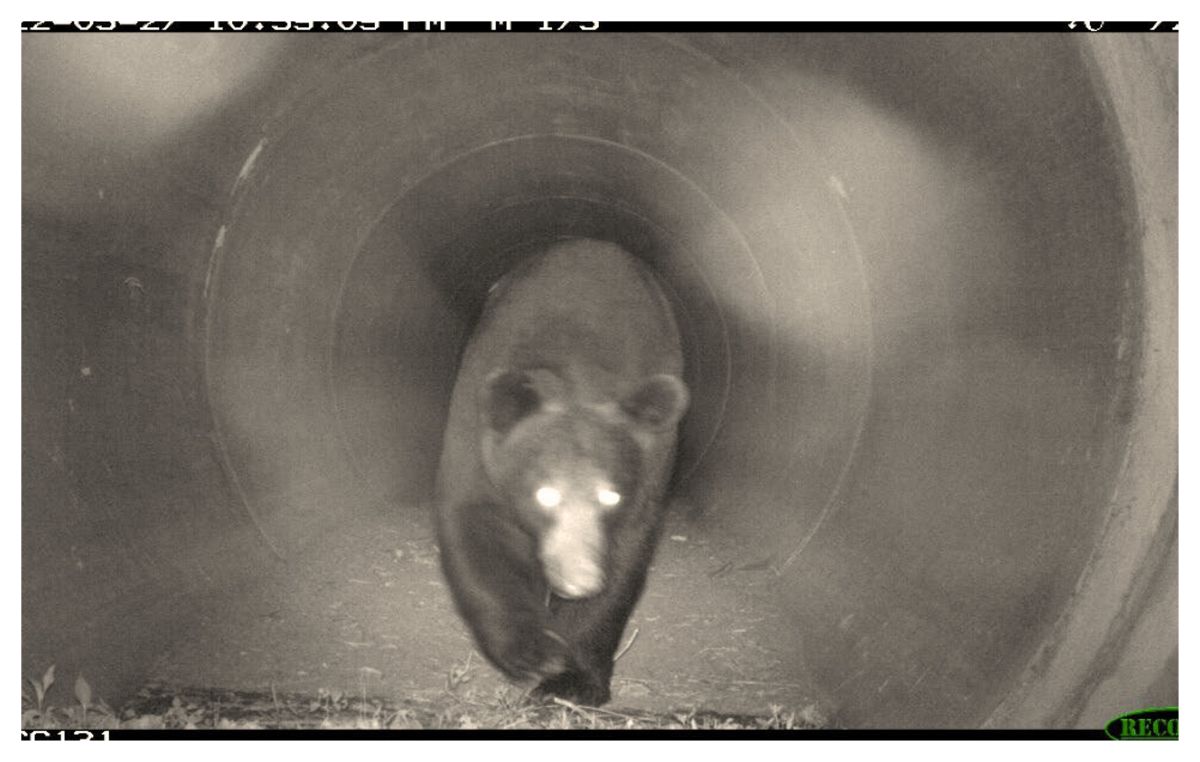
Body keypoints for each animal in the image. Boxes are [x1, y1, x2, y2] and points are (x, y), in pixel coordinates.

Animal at [436, 240, 691, 710]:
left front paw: (572, 679)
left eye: (611, 496)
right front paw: (532, 650)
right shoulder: (475, 437)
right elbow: (474, 527)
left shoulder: (650, 471)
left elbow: (625, 558)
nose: (580, 578)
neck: (578, 373)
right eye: (545, 494)